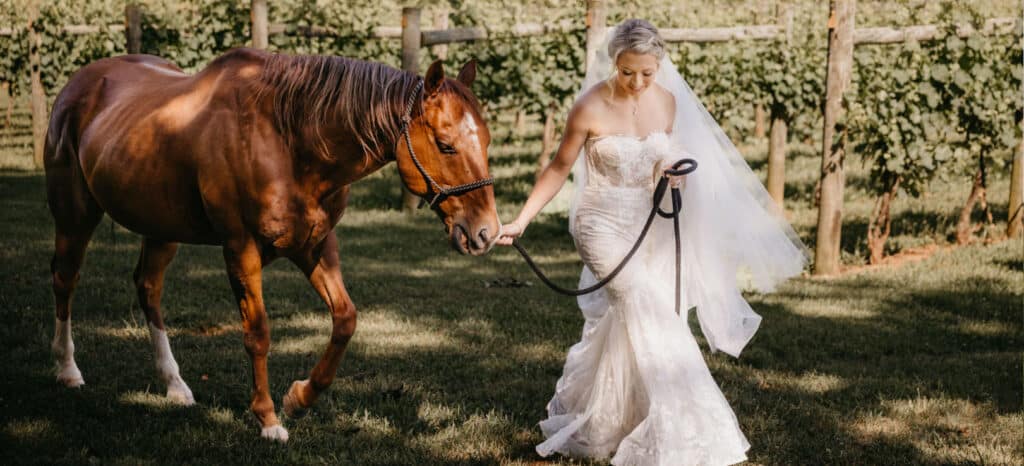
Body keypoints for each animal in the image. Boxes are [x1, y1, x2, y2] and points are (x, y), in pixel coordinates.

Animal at [44, 49, 499, 442]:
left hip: (160, 229)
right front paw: (267, 419)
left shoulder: (316, 246)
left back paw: (175, 385)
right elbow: (258, 333)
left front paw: (299, 398)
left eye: (487, 140)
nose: (486, 232)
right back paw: (67, 370)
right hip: (74, 218)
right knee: (65, 280)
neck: (288, 141)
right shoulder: (240, 249)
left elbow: (345, 319)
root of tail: (80, 83)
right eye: (445, 144)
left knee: (148, 288)